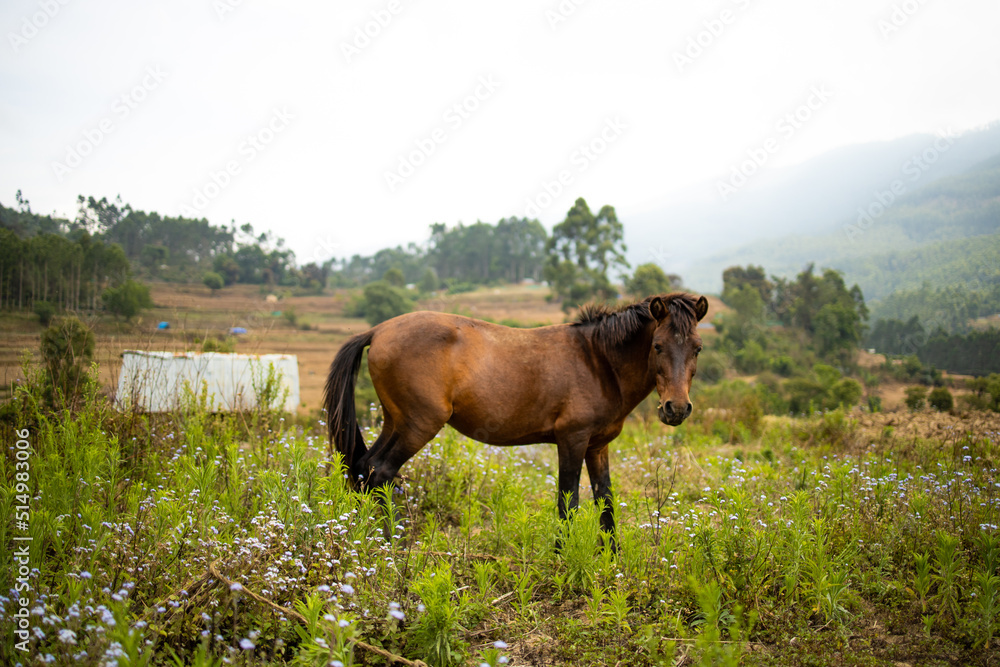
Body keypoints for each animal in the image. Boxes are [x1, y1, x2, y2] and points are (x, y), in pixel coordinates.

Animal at [324, 292, 709, 544]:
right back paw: (395, 544)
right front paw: (564, 558)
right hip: (418, 426)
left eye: (697, 348)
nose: (676, 408)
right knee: (381, 471)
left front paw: (611, 561)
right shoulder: (572, 440)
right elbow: (568, 502)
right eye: (657, 346)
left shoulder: (598, 446)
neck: (598, 360)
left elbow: (606, 502)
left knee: (364, 468)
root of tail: (378, 331)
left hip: (396, 422)